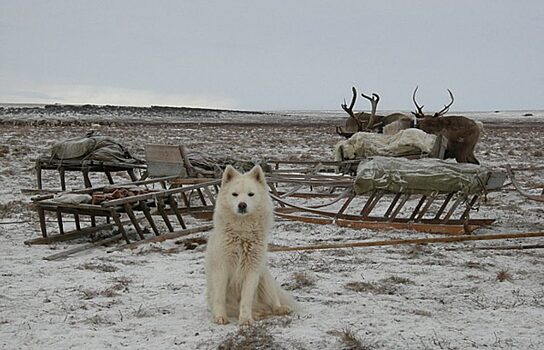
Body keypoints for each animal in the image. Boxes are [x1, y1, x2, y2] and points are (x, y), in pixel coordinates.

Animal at [205, 165, 298, 326]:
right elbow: (219, 297)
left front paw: (246, 319)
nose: (242, 205)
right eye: (234, 194)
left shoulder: (252, 270)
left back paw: (278, 309)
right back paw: (258, 314)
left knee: (273, 302)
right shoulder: (221, 269)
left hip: (264, 277)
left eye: (251, 194)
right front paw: (220, 317)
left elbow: (246, 299)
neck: (242, 233)